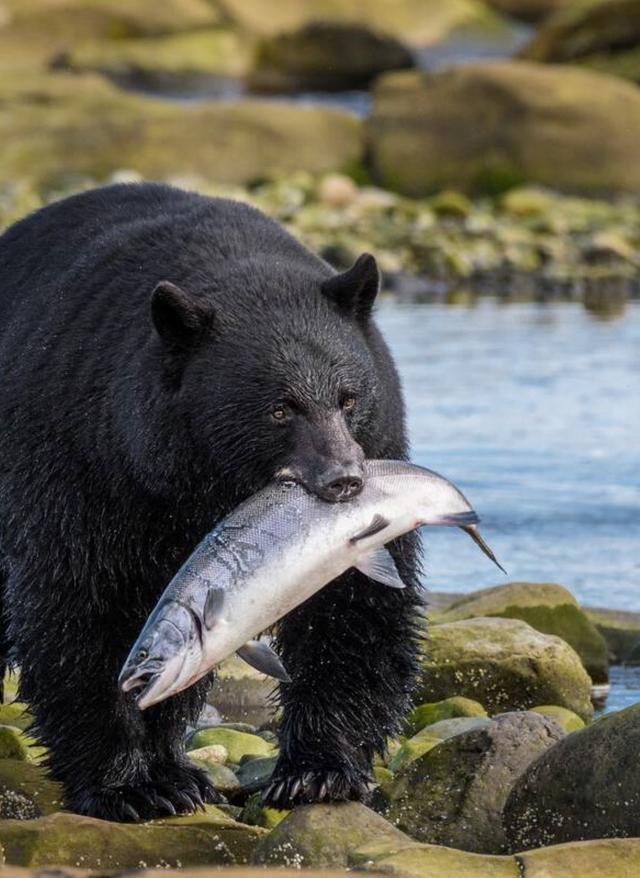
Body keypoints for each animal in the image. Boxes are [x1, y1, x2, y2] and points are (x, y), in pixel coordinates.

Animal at [0, 182, 422, 821]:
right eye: (280, 408)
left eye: (348, 398)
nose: (344, 480)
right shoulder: (82, 462)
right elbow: (83, 606)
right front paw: (131, 785)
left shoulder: (376, 463)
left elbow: (353, 609)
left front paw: (318, 770)